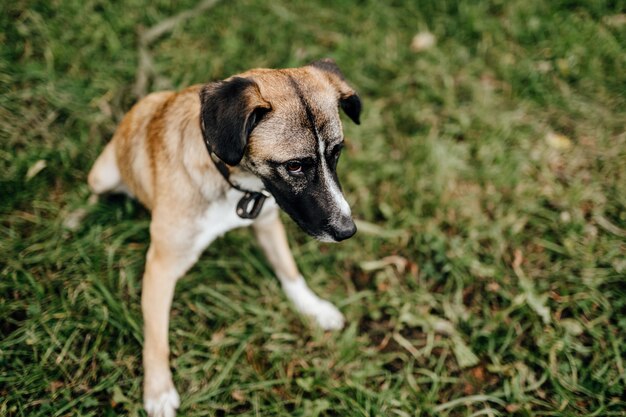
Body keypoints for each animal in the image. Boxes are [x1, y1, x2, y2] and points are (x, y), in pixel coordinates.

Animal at [88, 59, 360, 416]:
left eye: (337, 152)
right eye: (295, 165)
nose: (347, 231)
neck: (234, 183)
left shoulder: (268, 220)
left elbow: (289, 271)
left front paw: (312, 307)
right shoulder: (161, 266)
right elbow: (156, 336)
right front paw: (158, 389)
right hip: (100, 177)